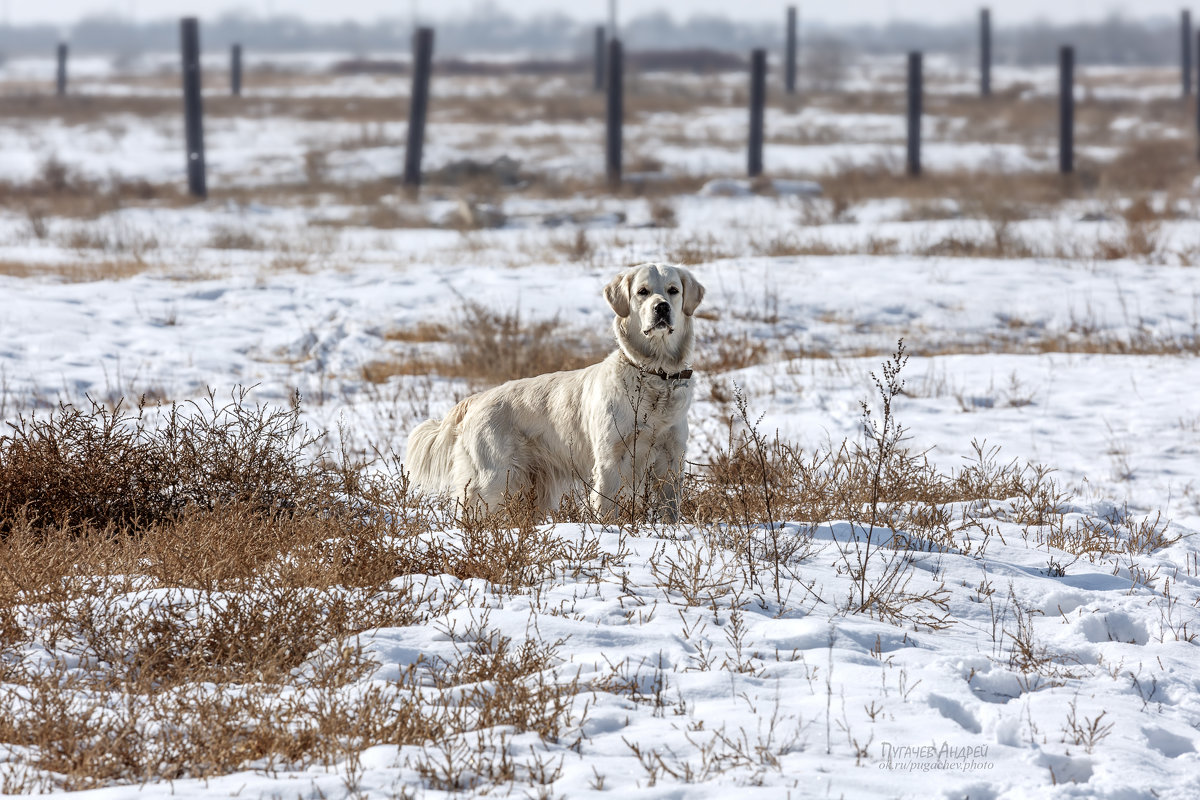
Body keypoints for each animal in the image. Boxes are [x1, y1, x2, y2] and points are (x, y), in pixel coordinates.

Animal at [403, 262, 700, 520]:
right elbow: (607, 507)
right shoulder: (610, 458)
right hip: (493, 480)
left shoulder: (672, 458)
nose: (661, 308)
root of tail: (476, 400)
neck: (654, 375)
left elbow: (670, 509)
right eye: (642, 292)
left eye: (673, 290)